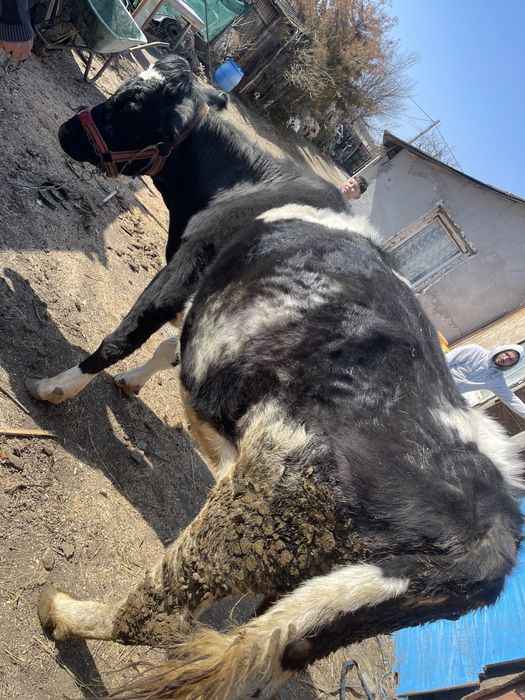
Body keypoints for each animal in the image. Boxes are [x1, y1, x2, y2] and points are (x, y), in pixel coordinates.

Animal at [30, 56, 523, 699]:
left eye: (131, 102)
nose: (68, 130)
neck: (254, 185)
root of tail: (496, 536)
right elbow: (166, 347)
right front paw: (131, 384)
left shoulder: (185, 266)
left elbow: (127, 334)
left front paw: (55, 387)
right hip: (312, 606)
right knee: (263, 656)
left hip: (255, 512)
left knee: (155, 616)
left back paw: (63, 612)